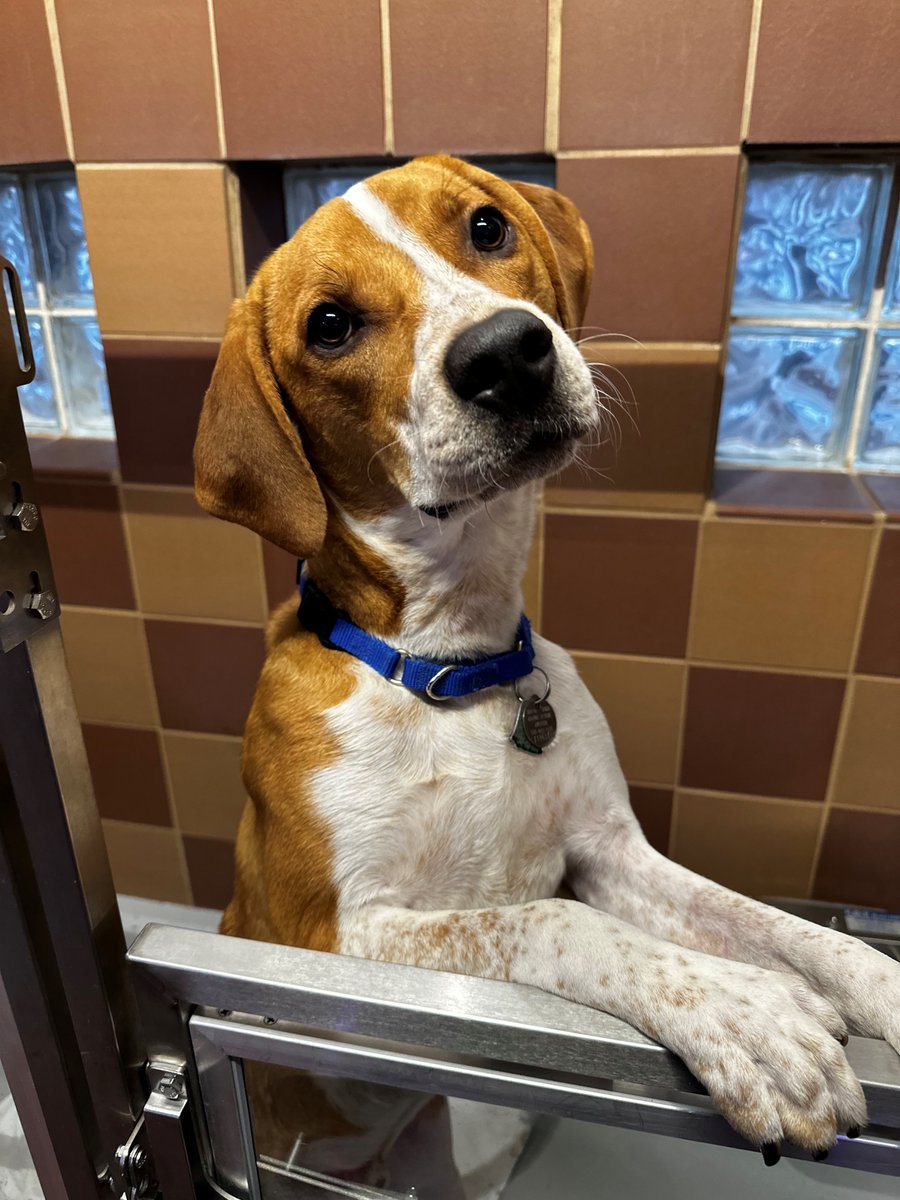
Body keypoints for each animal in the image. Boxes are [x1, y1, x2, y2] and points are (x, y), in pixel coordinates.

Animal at [195, 154, 900, 1185]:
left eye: (487, 227)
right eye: (329, 324)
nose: (505, 353)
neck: (452, 669)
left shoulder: (611, 851)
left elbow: (781, 928)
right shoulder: (332, 938)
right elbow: (553, 921)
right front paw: (750, 1013)